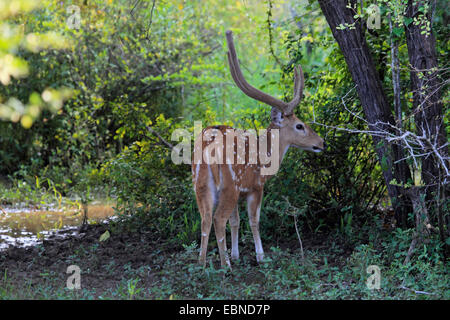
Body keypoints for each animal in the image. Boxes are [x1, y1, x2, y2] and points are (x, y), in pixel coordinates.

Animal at [192, 31, 326, 268]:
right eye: (300, 125)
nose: (321, 143)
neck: (266, 156)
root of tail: (208, 148)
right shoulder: (255, 186)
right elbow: (254, 220)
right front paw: (260, 256)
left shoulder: (242, 191)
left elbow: (236, 221)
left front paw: (237, 254)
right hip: (229, 186)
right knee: (217, 218)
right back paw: (225, 265)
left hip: (201, 185)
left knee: (205, 218)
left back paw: (202, 262)